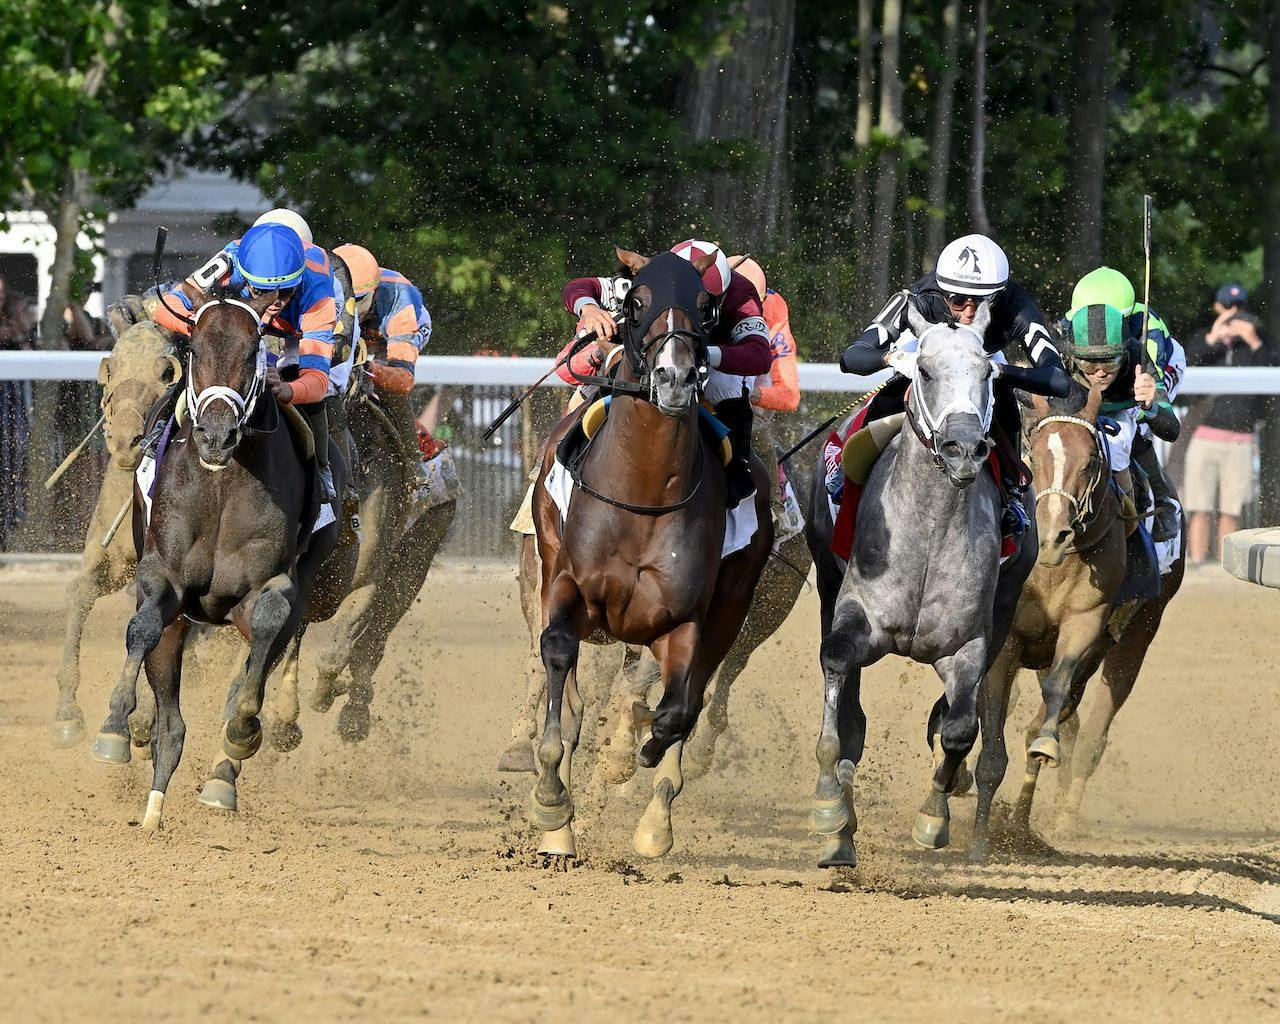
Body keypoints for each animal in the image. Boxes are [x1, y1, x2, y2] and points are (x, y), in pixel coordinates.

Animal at [51, 316, 180, 747]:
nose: (125, 440)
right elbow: (79, 593)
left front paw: (137, 719)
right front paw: (67, 713)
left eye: (166, 373)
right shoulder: (108, 556)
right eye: (112, 368)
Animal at [88, 291, 350, 829]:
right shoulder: (163, 578)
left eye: (254, 352)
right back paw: (152, 804)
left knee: (252, 669)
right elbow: (142, 627)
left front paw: (243, 732)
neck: (221, 485)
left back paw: (219, 778)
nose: (215, 435)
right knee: (172, 723)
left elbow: (265, 631)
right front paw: (114, 724)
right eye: (193, 349)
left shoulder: (269, 589)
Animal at [527, 248, 768, 855]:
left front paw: (641, 759)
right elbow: (559, 655)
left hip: (731, 608)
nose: (676, 377)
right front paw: (552, 802)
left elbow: (677, 710)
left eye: (707, 308)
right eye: (635, 302)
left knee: (694, 696)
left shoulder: (682, 619)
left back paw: (654, 817)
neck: (645, 492)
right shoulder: (570, 586)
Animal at [808, 308, 1039, 870]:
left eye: (988, 374)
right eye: (927, 372)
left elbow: (959, 729)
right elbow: (838, 682)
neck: (929, 533)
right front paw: (829, 808)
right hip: (826, 575)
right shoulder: (856, 615)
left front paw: (933, 816)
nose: (964, 449)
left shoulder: (967, 643)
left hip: (1006, 603)